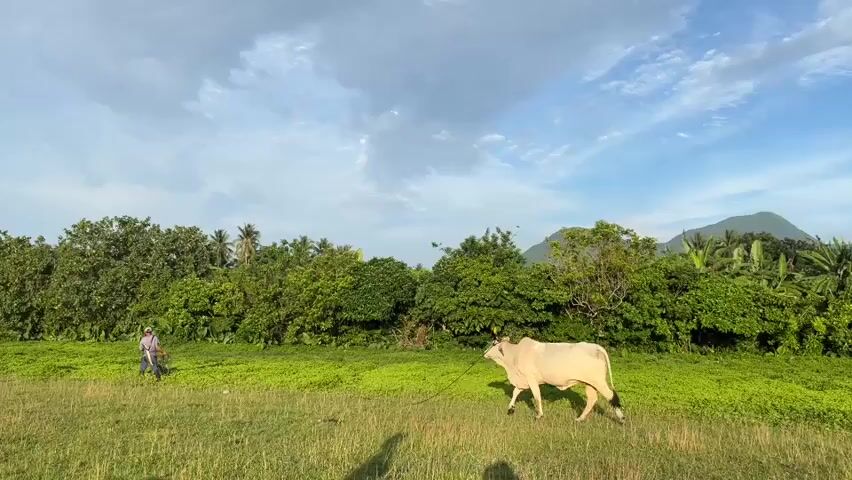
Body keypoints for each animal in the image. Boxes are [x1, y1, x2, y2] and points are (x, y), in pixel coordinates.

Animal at [483, 336, 625, 423]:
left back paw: (621, 417)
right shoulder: (523, 380)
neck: (515, 355)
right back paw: (580, 418)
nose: (484, 353)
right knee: (592, 399)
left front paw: (539, 415)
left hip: (598, 381)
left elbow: (536, 396)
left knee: (611, 396)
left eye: (494, 343)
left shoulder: (531, 379)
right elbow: (515, 392)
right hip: (589, 384)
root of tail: (596, 347)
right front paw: (510, 409)